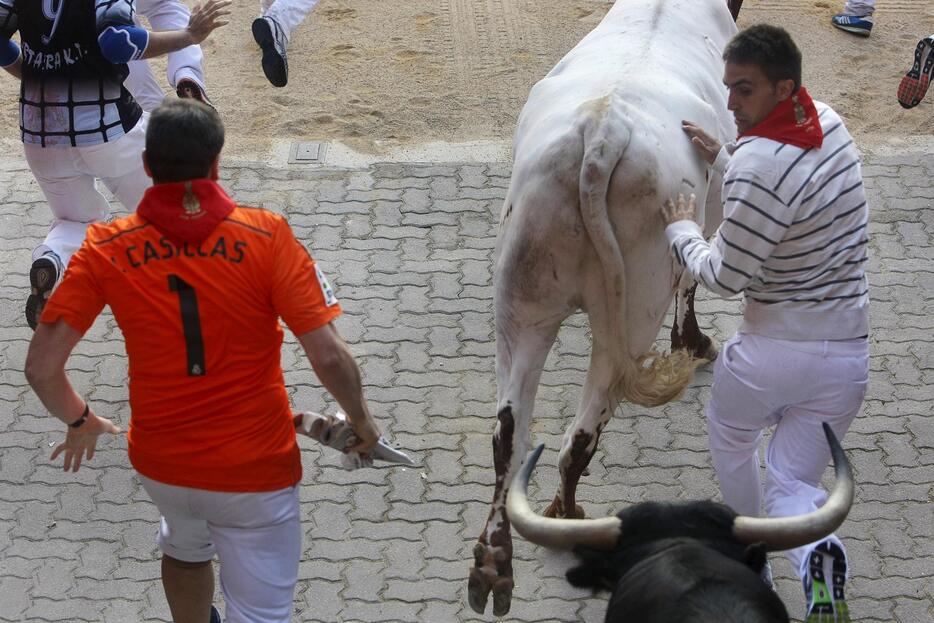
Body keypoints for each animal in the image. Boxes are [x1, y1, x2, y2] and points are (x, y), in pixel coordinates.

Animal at [472, 0, 744, 616]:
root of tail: (603, 132)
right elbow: (693, 279)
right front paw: (693, 343)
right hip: (633, 310)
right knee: (581, 431)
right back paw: (566, 518)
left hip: (520, 300)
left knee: (509, 431)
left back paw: (493, 565)